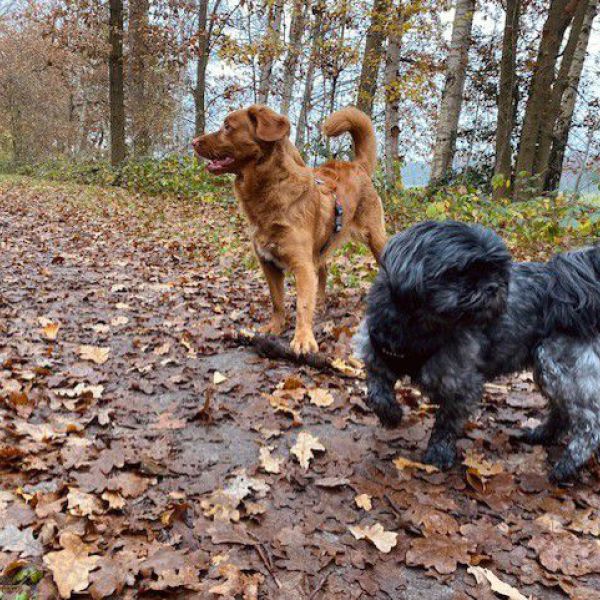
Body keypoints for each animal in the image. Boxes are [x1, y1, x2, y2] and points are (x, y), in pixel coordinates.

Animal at [195, 105, 386, 354]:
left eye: (227, 126)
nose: (194, 141)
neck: (271, 190)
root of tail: (357, 165)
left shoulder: (301, 265)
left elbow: (303, 303)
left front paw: (303, 338)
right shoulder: (269, 265)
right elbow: (277, 300)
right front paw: (276, 327)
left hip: (376, 239)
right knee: (322, 272)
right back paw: (321, 303)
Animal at [354, 220, 600, 482]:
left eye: (498, 272)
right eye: (462, 271)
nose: (493, 287)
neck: (418, 326)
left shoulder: (461, 383)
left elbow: (446, 421)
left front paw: (439, 452)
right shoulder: (376, 356)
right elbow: (377, 392)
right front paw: (391, 415)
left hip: (561, 366)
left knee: (589, 422)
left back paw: (568, 465)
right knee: (562, 411)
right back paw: (543, 434)